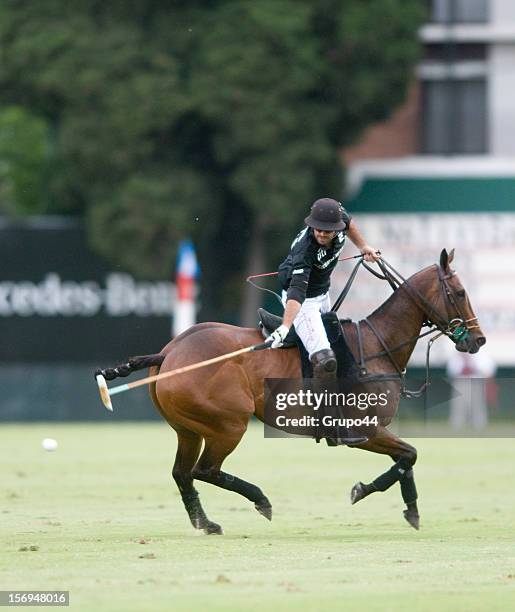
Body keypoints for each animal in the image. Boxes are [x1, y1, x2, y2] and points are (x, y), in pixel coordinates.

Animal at [98, 246, 488, 532]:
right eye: (459, 292)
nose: (479, 340)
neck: (378, 346)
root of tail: (167, 353)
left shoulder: (377, 430)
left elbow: (406, 457)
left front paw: (410, 510)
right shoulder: (365, 429)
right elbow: (409, 455)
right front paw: (363, 491)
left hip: (189, 428)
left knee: (182, 473)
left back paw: (205, 523)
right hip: (227, 424)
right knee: (203, 470)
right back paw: (260, 500)